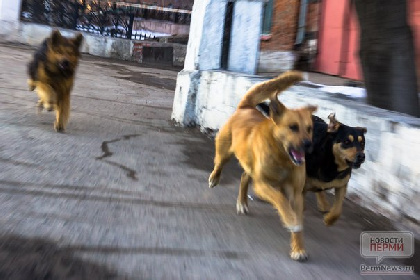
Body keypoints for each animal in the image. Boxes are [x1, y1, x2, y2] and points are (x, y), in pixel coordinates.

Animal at [208, 71, 316, 262]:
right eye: (293, 127)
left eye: (309, 128)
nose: (308, 144)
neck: (282, 157)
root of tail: (245, 108)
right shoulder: (262, 185)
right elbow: (281, 200)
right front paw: (290, 220)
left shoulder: (295, 194)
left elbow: (297, 219)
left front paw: (298, 248)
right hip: (224, 151)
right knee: (219, 164)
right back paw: (214, 178)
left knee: (244, 177)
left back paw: (242, 203)